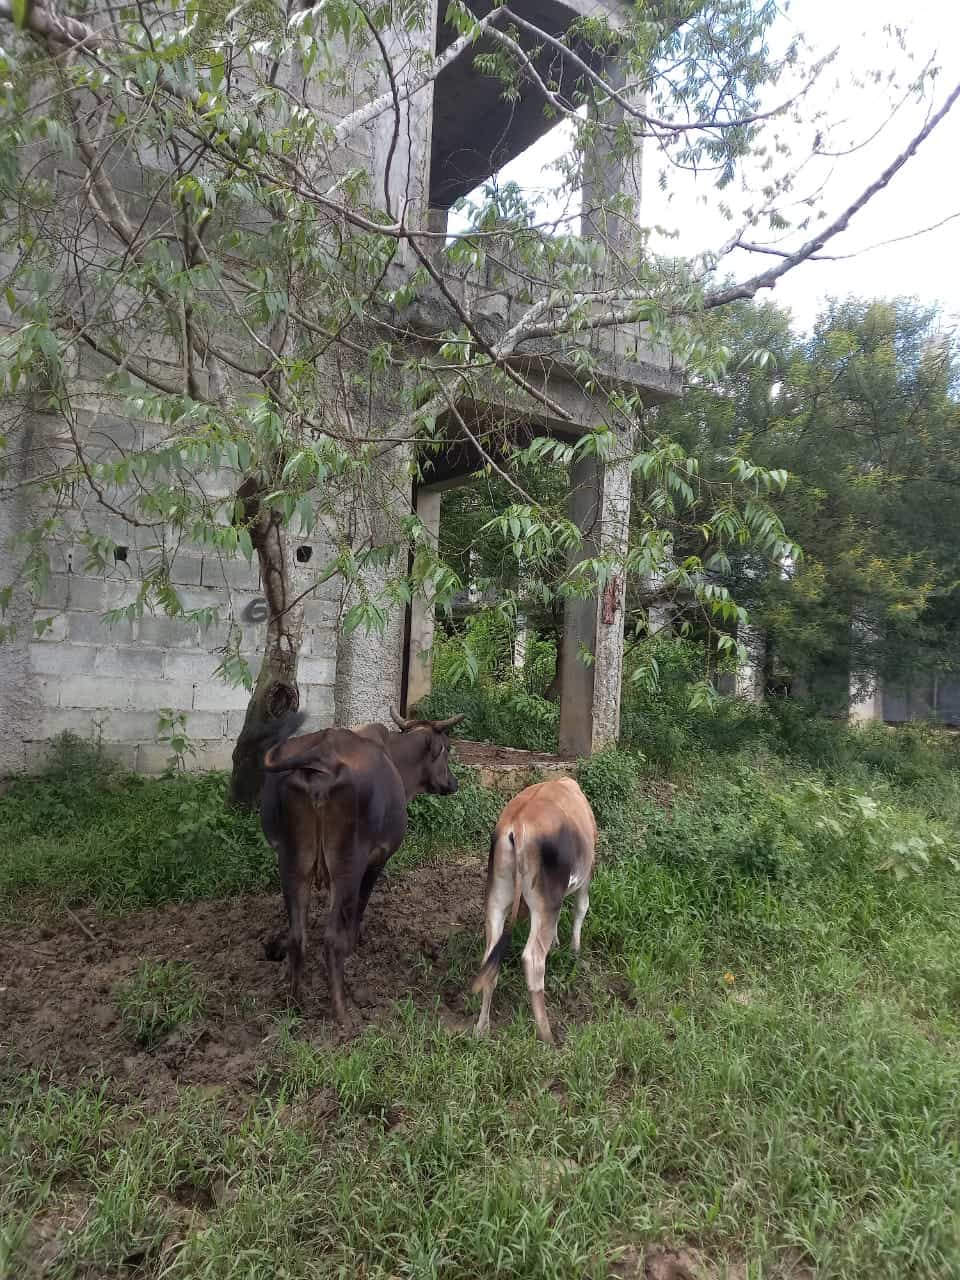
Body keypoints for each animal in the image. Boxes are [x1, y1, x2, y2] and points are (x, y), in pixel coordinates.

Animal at [259, 706, 463, 1013]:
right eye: (447, 749)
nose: (453, 783)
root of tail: (321, 754)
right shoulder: (378, 857)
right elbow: (360, 905)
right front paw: (355, 945)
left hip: (292, 862)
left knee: (297, 935)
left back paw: (295, 1002)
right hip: (348, 864)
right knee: (331, 940)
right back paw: (342, 1012)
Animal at [471, 778, 599, 1039]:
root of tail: (517, 824)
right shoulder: (586, 877)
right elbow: (581, 908)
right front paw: (575, 950)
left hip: (497, 899)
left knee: (490, 960)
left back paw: (482, 1027)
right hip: (544, 903)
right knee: (533, 959)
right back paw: (546, 1034)